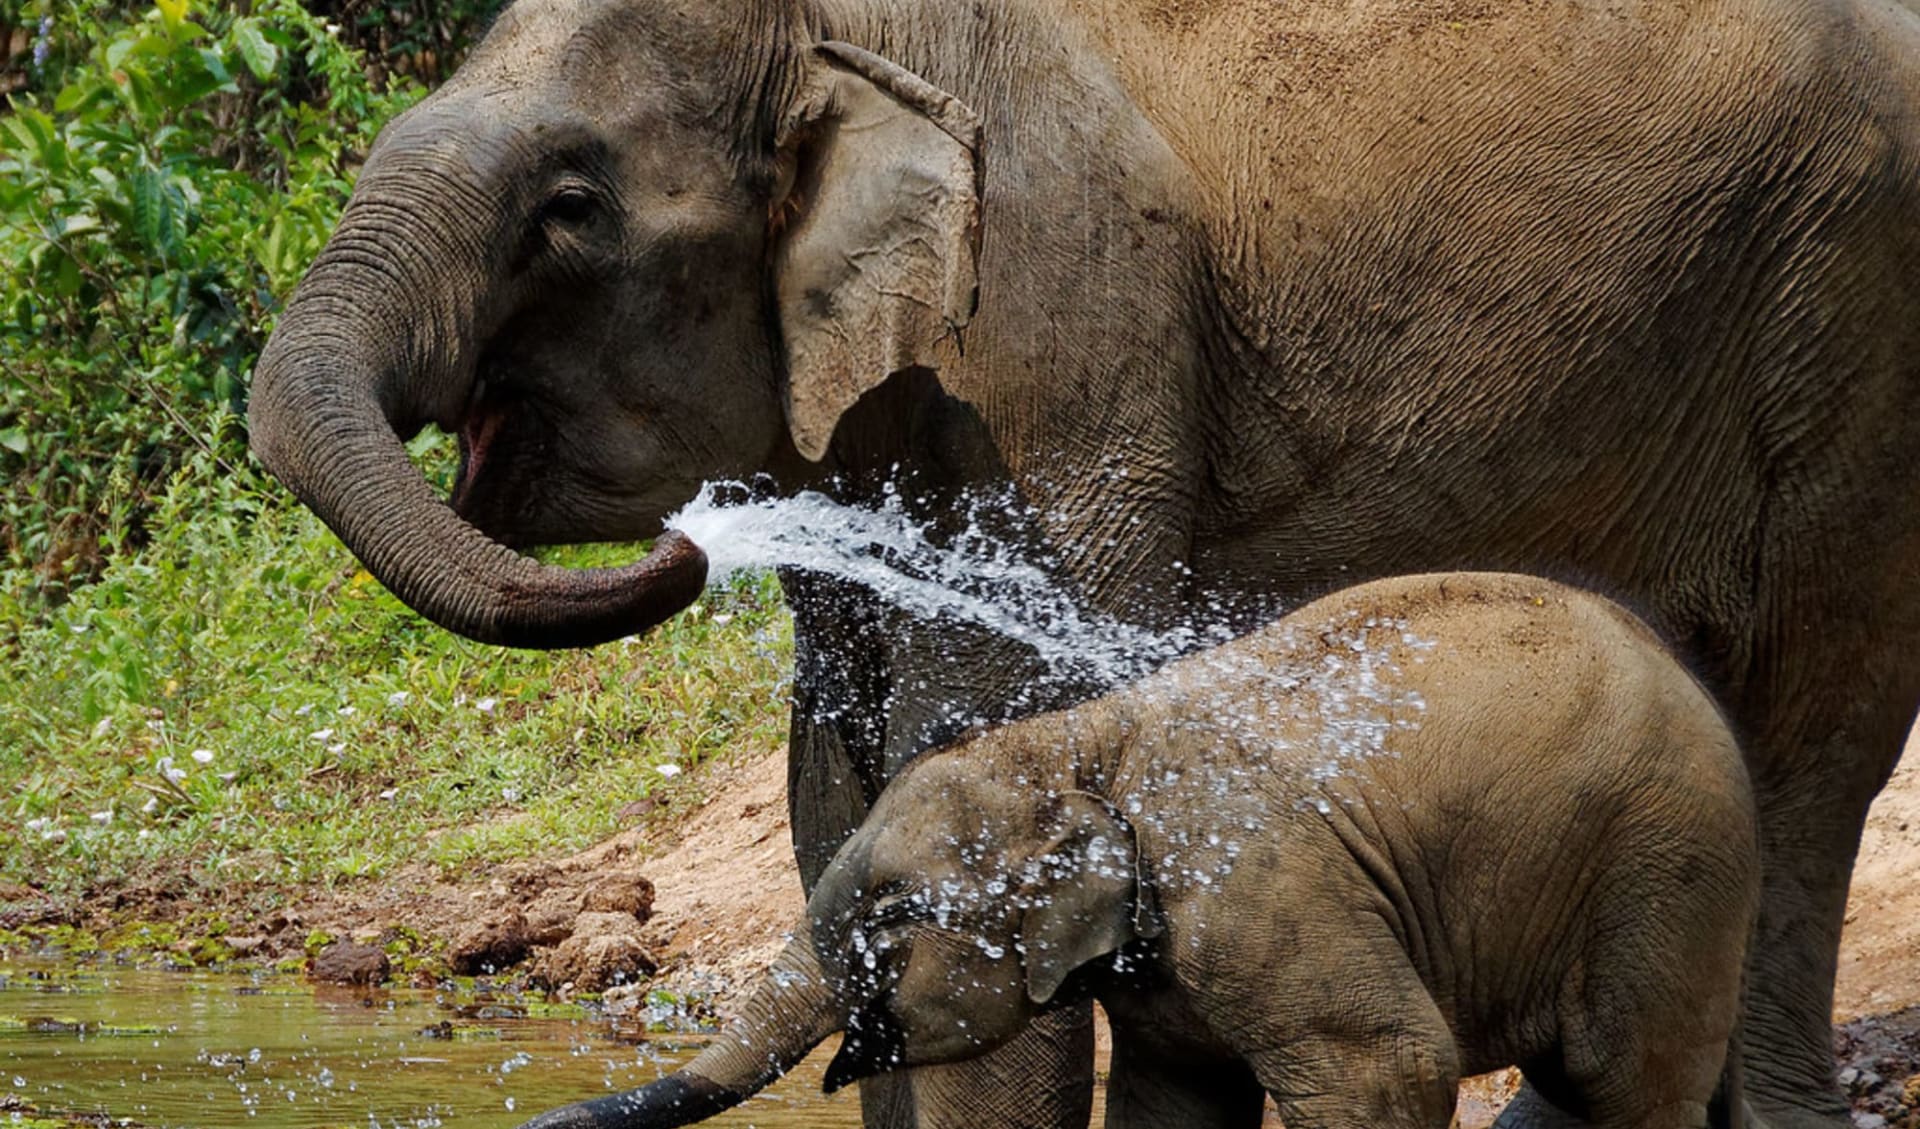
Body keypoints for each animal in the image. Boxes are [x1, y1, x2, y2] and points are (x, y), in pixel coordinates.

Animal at [517, 573, 1760, 1129]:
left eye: (891, 917)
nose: (540, 1117)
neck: (1079, 738)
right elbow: (1176, 1103)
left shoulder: (1261, 889)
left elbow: (1389, 1065)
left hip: (1661, 865)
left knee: (1624, 1083)